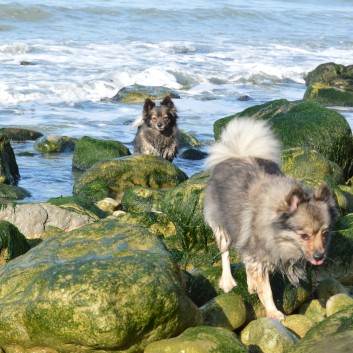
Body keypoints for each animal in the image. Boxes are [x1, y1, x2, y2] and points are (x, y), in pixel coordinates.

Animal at [202, 117, 336, 320]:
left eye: (325, 233)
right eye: (304, 236)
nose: (320, 256)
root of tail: (237, 154)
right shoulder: (260, 253)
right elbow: (266, 290)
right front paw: (273, 312)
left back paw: (250, 282)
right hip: (222, 225)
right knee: (225, 252)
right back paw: (227, 280)